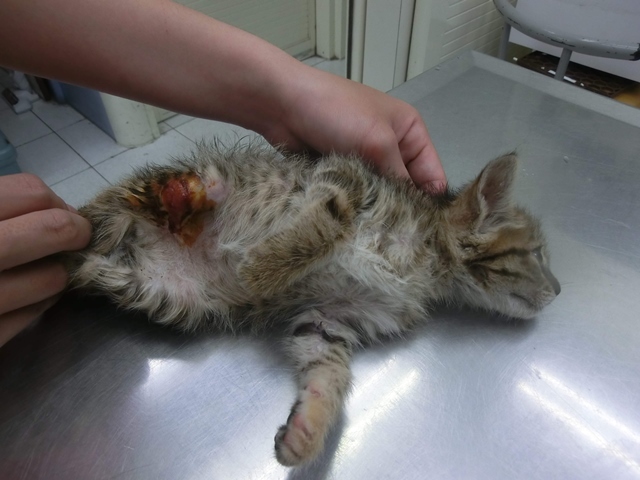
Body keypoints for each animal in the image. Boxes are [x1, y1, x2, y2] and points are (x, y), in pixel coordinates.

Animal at [68, 141, 560, 466]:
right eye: (537, 254)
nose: (558, 290)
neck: (427, 253)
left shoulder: (331, 317)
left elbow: (329, 370)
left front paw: (310, 427)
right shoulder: (345, 178)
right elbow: (325, 222)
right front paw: (262, 269)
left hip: (166, 295)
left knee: (86, 267)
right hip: (175, 189)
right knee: (107, 215)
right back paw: (176, 194)